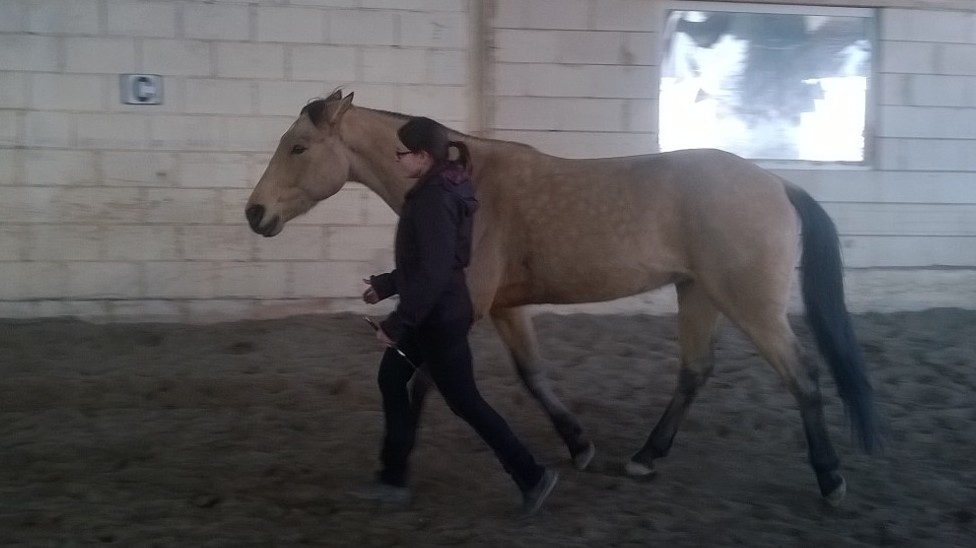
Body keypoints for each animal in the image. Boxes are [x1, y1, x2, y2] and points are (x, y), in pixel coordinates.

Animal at [245, 90, 881, 505]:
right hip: (698, 292)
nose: (255, 213)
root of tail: (777, 182)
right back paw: (645, 458)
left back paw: (830, 480)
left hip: (749, 303)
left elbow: (423, 384)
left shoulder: (464, 308)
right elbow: (532, 376)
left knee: (802, 378)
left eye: (298, 147)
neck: (468, 183)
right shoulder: (503, 308)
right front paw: (578, 447)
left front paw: (396, 469)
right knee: (695, 371)